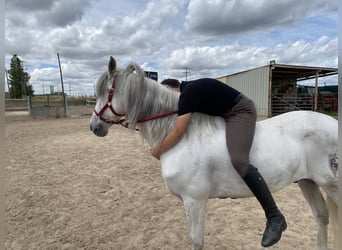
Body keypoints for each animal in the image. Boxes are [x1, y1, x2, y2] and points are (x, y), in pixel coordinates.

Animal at [89, 56, 338, 250]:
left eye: (107, 92)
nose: (94, 126)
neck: (184, 137)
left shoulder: (194, 200)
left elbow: (196, 241)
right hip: (307, 181)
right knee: (322, 217)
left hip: (330, 184)